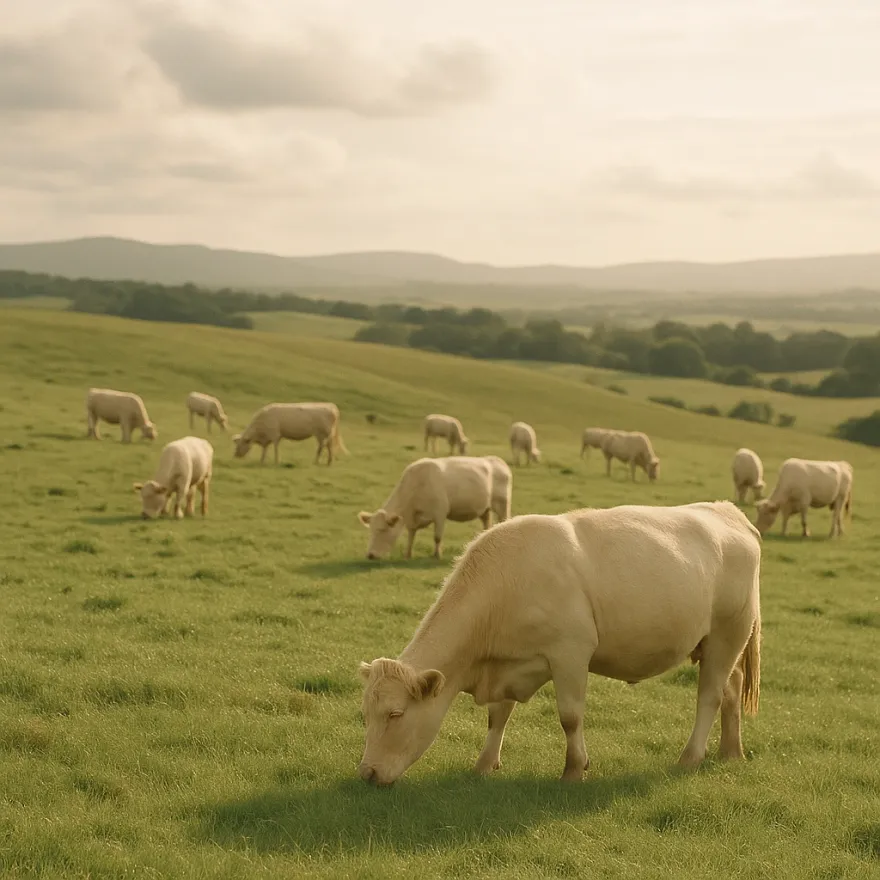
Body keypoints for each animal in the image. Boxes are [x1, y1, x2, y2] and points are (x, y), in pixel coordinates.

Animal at [358, 455, 512, 560]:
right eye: (370, 531)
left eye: (382, 530)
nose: (370, 555)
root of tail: (498, 461)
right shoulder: (412, 519)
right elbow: (411, 536)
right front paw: (408, 554)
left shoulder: (440, 513)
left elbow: (437, 537)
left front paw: (437, 555)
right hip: (485, 509)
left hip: (502, 505)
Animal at [358, 501, 761, 786]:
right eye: (365, 713)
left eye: (395, 714)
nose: (367, 773)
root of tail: (728, 512)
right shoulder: (509, 659)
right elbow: (498, 716)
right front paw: (484, 764)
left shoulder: (570, 653)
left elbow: (570, 716)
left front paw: (574, 769)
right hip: (715, 645)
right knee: (731, 689)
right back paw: (730, 752)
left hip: (727, 634)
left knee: (709, 696)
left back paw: (691, 756)